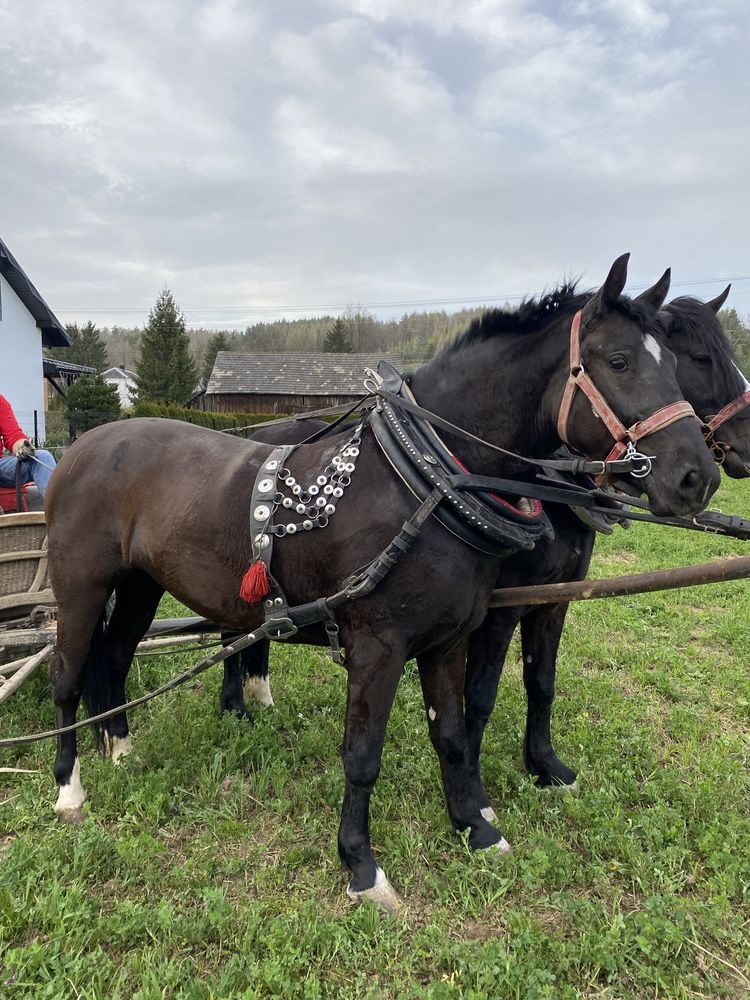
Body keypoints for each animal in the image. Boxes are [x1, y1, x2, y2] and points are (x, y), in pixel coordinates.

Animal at [45, 254, 724, 912]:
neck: (425, 481)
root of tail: (82, 446)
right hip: (79, 587)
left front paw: (476, 828)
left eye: (676, 362)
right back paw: (69, 789)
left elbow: (452, 733)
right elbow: (363, 756)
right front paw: (361, 866)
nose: (698, 477)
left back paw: (120, 748)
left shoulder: (450, 638)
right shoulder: (378, 646)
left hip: (140, 584)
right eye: (619, 360)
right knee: (68, 675)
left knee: (115, 654)